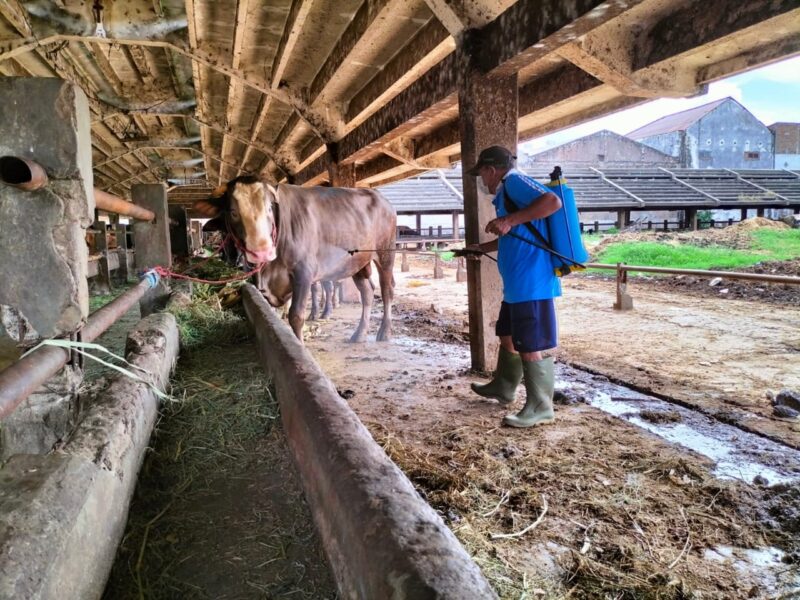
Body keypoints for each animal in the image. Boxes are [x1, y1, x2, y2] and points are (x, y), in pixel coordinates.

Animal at [194, 176, 394, 342]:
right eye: (233, 212)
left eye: (269, 208)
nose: (262, 252)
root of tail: (378, 195)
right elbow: (273, 316)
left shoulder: (303, 273)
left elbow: (296, 316)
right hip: (358, 263)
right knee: (367, 292)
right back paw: (360, 333)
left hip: (385, 255)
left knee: (386, 291)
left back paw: (384, 332)